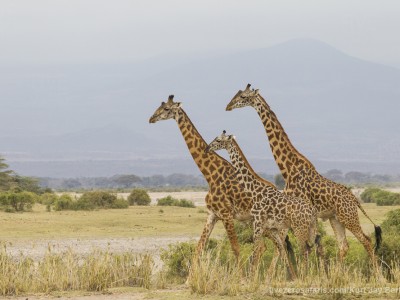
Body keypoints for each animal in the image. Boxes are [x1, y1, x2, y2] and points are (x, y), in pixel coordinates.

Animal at [150, 95, 253, 262]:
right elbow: (198, 249)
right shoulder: (212, 214)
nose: (151, 118)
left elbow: (236, 249)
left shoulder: (226, 214)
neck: (210, 176)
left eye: (166, 108)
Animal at [205, 131, 318, 278]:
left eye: (218, 140)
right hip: (309, 229)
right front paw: (291, 277)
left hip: (300, 228)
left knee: (304, 250)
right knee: (310, 249)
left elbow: (255, 252)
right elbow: (281, 251)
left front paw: (251, 279)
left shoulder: (258, 224)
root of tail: (313, 211)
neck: (254, 190)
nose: (207, 148)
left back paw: (305, 276)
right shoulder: (272, 228)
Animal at [225, 82, 382, 264]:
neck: (288, 169)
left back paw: (376, 271)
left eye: (243, 96)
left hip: (347, 216)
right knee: (343, 246)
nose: (228, 106)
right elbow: (291, 247)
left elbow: (296, 247)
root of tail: (355, 199)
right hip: (335, 218)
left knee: (366, 240)